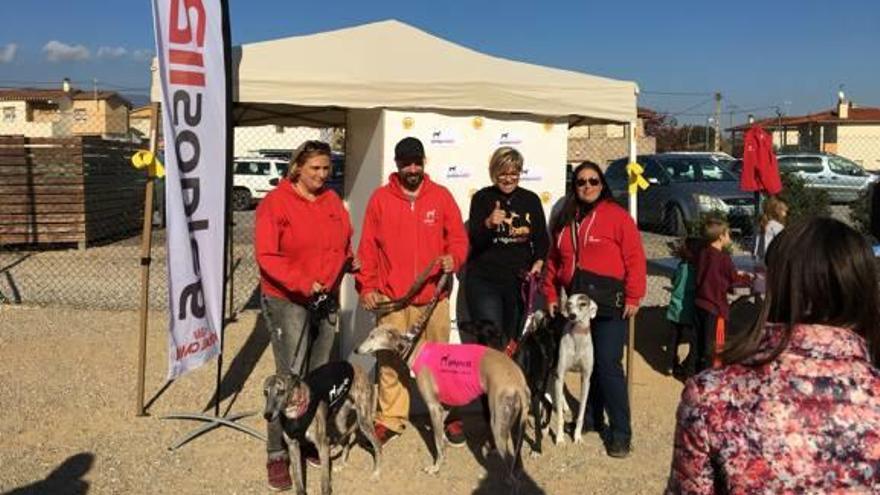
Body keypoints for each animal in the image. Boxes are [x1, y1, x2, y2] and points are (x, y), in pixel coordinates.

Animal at [262, 360, 384, 495]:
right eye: (265, 392)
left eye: (281, 391)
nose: (267, 415)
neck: (296, 412)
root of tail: (354, 365)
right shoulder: (293, 446)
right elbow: (298, 482)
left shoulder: (323, 445)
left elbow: (324, 483)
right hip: (340, 419)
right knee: (346, 440)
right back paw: (342, 464)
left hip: (364, 421)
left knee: (378, 445)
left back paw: (377, 473)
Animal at [352, 326, 528, 484]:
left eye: (373, 336)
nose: (356, 350)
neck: (415, 348)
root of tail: (519, 381)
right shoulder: (445, 405)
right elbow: (441, 434)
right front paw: (444, 447)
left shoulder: (433, 406)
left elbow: (437, 441)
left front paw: (435, 467)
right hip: (515, 426)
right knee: (517, 461)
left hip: (498, 424)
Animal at [556, 294, 600, 446]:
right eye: (569, 303)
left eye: (583, 304)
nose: (572, 316)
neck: (578, 337)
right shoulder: (560, 374)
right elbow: (559, 416)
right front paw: (559, 438)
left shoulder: (586, 379)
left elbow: (581, 411)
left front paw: (577, 437)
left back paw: (564, 406)